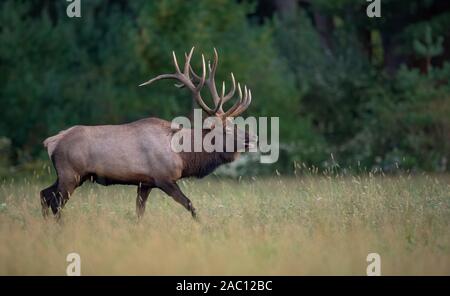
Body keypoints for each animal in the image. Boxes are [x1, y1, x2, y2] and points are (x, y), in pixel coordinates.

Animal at [39, 48, 256, 220]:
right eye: (226, 129)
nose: (253, 138)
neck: (184, 156)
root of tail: (51, 141)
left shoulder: (145, 183)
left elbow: (139, 212)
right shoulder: (164, 178)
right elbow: (190, 205)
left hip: (70, 176)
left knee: (44, 195)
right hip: (70, 174)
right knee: (55, 203)